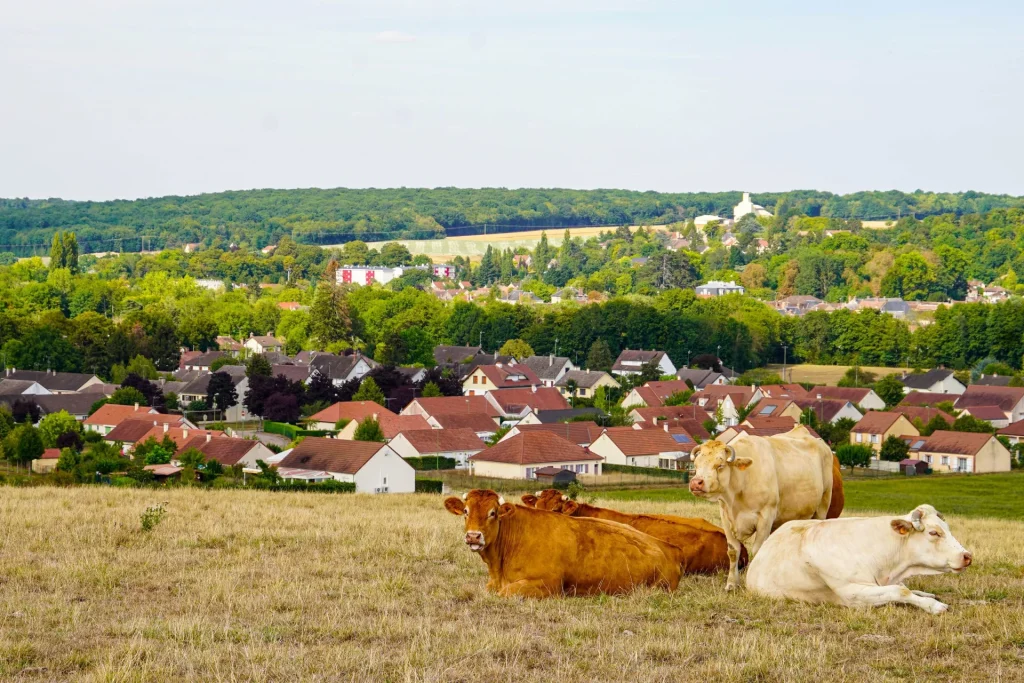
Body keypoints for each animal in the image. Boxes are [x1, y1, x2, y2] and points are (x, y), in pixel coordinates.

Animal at [444, 491, 684, 598]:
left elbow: (506, 592)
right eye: (465, 511)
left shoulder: (548, 585)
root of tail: (669, 548)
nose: (473, 536)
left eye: (493, 513)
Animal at [688, 423, 831, 589]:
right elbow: (733, 551)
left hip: (823, 505)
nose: (696, 483)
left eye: (720, 465)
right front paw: (731, 584)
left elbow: (757, 551)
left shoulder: (765, 516)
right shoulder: (725, 516)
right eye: (696, 465)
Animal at [745, 505, 966, 618]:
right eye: (934, 532)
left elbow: (903, 588)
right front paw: (934, 606)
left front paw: (927, 596)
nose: (967, 556)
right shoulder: (852, 593)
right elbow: (900, 591)